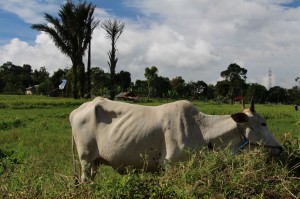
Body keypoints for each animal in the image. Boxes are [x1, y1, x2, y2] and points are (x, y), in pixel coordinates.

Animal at [69, 96, 282, 182]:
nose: (279, 148)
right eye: (263, 123)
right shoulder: (171, 166)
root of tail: (77, 111)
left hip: (95, 162)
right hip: (85, 160)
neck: (201, 130)